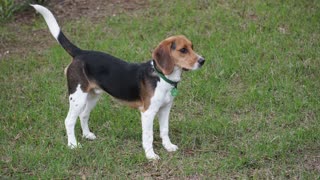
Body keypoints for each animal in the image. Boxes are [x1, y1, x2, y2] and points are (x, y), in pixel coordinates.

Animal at [31, 4, 205, 160]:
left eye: (192, 47)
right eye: (183, 50)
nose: (202, 61)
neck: (162, 77)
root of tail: (81, 53)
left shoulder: (165, 109)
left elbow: (164, 130)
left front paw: (168, 147)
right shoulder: (148, 113)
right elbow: (148, 136)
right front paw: (150, 155)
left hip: (93, 96)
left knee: (84, 115)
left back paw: (87, 135)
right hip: (77, 97)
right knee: (69, 121)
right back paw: (73, 145)